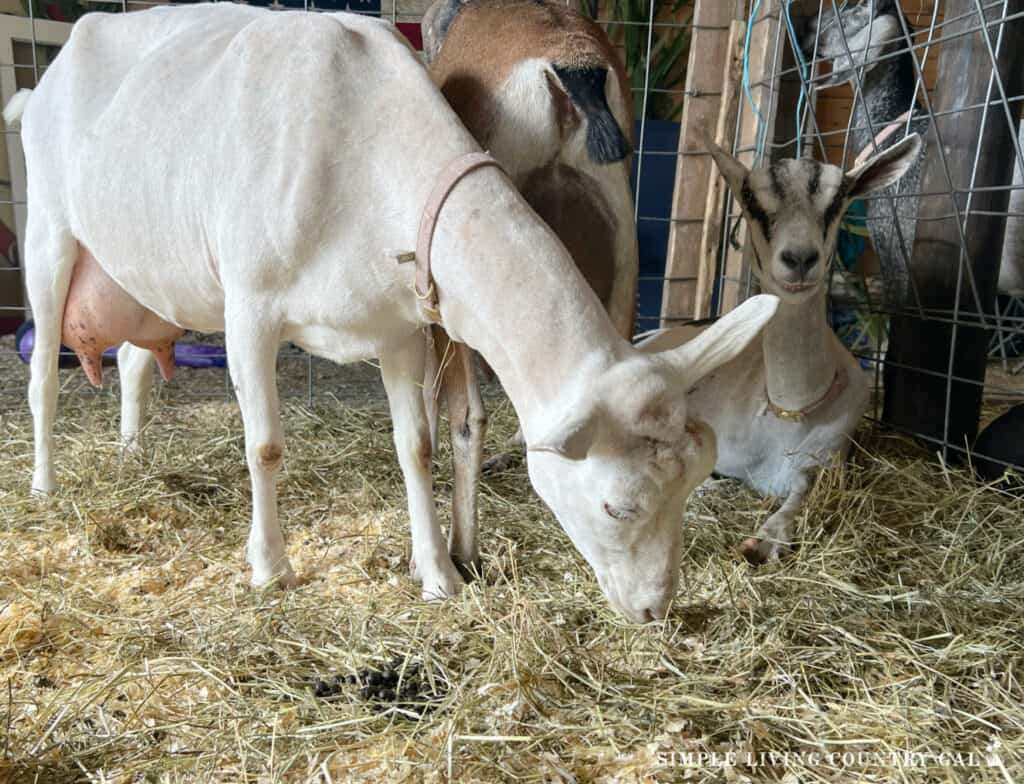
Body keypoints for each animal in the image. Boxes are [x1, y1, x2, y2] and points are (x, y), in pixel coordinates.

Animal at [638, 134, 922, 563]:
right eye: (750, 198)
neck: (791, 410)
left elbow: (801, 491)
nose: (800, 258)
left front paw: (766, 539)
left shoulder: (827, 458)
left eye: (839, 198)